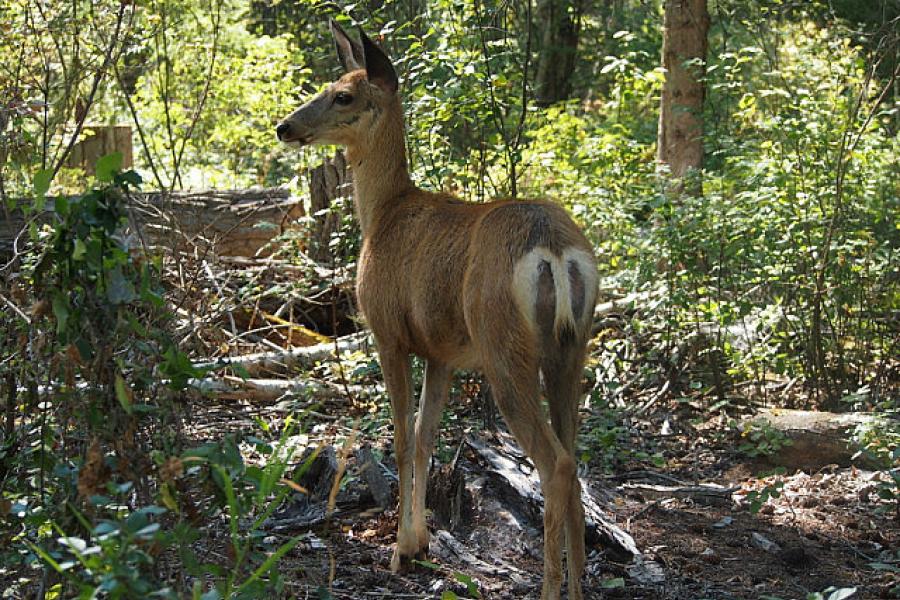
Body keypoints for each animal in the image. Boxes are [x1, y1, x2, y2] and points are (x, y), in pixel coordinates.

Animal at [274, 19, 596, 600]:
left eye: (343, 95)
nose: (284, 127)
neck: (382, 213)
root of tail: (555, 251)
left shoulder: (388, 333)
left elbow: (402, 439)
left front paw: (400, 550)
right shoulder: (442, 350)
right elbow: (427, 436)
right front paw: (418, 541)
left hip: (503, 346)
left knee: (555, 461)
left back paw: (550, 586)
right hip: (571, 347)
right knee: (576, 456)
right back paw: (579, 584)